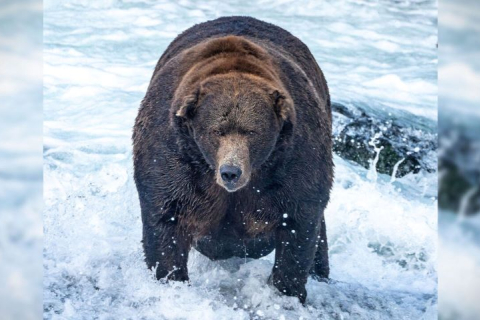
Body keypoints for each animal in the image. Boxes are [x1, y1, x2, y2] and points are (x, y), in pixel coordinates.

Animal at [133, 16, 332, 302]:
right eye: (217, 131)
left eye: (252, 131)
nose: (230, 172)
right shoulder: (174, 153)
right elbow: (166, 217)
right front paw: (172, 278)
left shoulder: (293, 157)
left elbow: (298, 223)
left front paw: (287, 290)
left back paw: (320, 271)